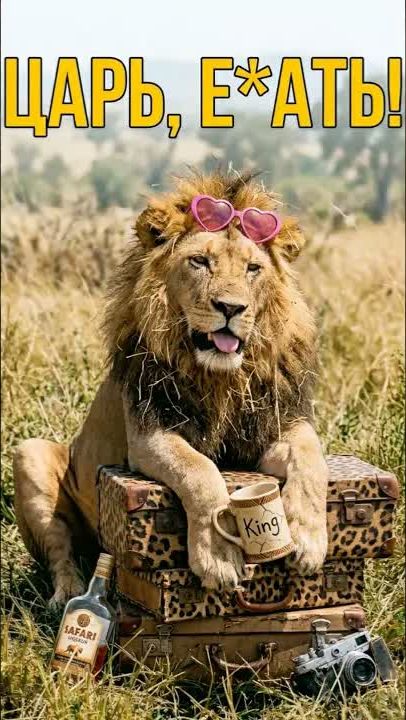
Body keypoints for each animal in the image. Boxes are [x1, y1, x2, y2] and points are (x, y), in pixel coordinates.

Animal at [13, 171, 328, 605]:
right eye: (200, 262)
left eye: (253, 269)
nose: (231, 308)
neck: (220, 378)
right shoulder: (149, 436)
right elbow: (200, 471)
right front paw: (217, 558)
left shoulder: (278, 425)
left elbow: (311, 459)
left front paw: (309, 538)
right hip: (30, 456)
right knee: (61, 550)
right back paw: (69, 595)